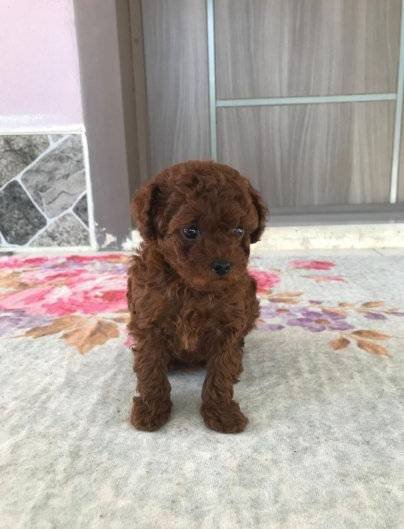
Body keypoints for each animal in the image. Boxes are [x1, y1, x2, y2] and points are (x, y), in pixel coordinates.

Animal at [127, 160, 267, 433]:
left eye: (238, 230)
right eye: (190, 230)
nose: (223, 265)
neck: (190, 286)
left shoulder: (228, 324)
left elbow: (221, 372)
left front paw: (221, 413)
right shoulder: (148, 321)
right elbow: (150, 368)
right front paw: (151, 410)